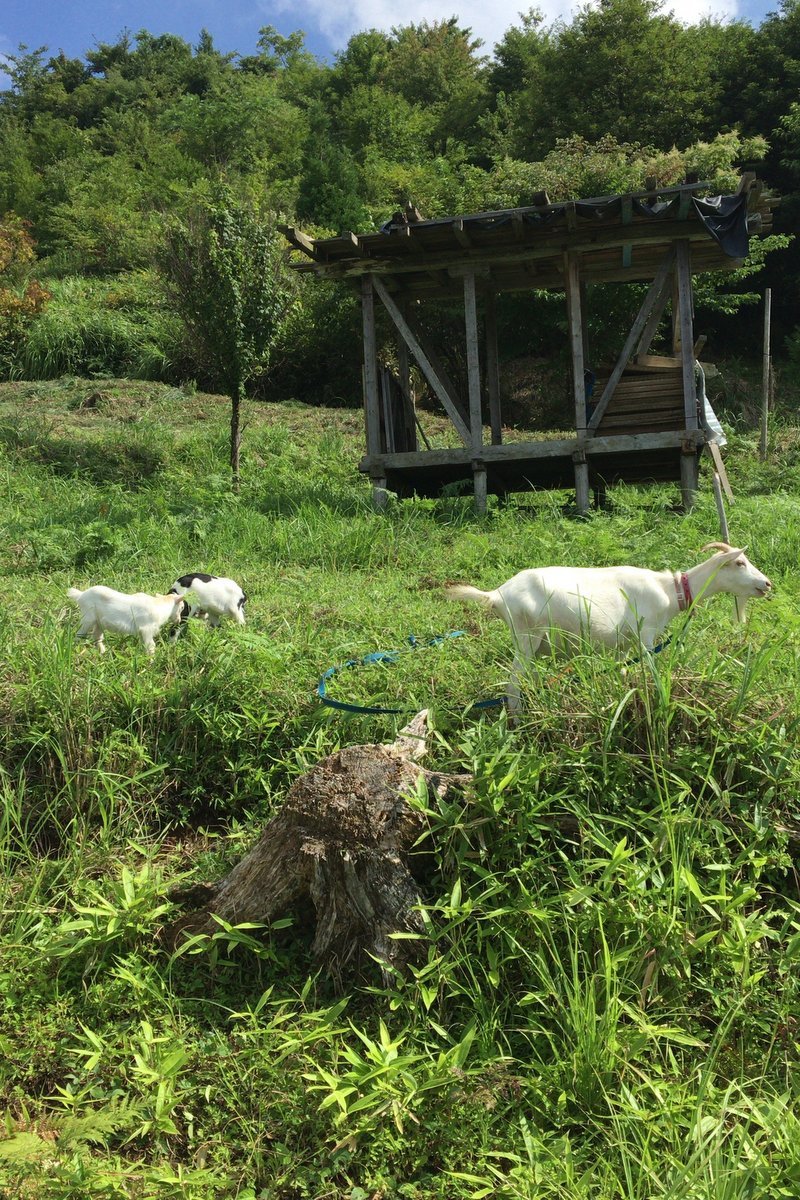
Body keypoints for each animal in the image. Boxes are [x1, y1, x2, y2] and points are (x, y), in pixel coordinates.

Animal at [448, 544, 772, 710]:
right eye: (740, 562)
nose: (767, 583)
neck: (669, 590)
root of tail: (497, 594)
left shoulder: (623, 645)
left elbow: (624, 673)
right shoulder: (646, 635)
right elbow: (652, 670)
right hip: (527, 635)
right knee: (513, 684)